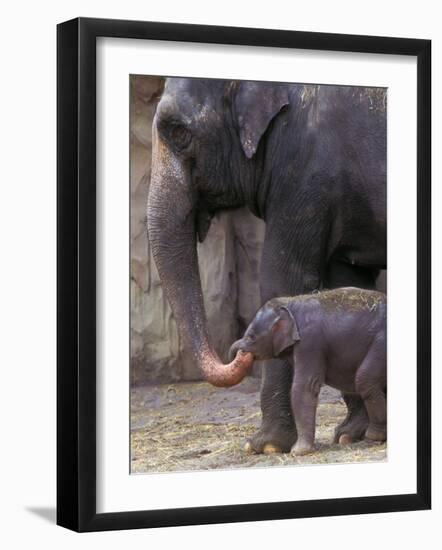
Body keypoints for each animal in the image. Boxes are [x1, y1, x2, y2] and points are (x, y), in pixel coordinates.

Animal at [230, 288, 386, 458]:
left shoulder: (309, 342)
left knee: (365, 379)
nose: (238, 353)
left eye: (251, 336)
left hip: (381, 343)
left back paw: (373, 437)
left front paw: (298, 452)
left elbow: (304, 386)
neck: (290, 303)